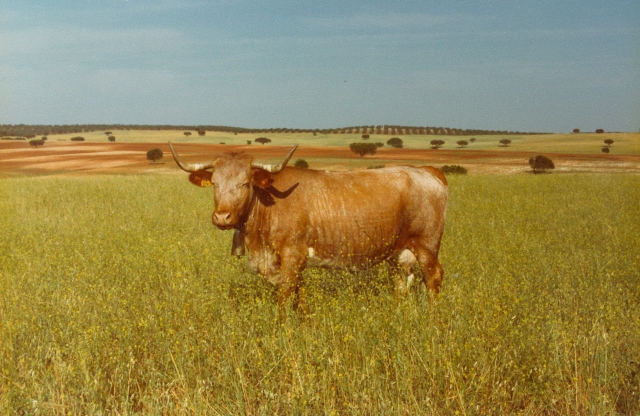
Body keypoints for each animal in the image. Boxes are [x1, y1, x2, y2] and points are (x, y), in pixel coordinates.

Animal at [170, 143, 450, 312]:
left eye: (244, 183)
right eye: (215, 183)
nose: (222, 217)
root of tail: (427, 171)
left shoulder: (292, 256)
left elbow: (285, 297)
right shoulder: (298, 261)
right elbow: (300, 296)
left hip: (427, 246)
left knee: (433, 278)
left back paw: (433, 317)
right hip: (400, 252)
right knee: (402, 282)